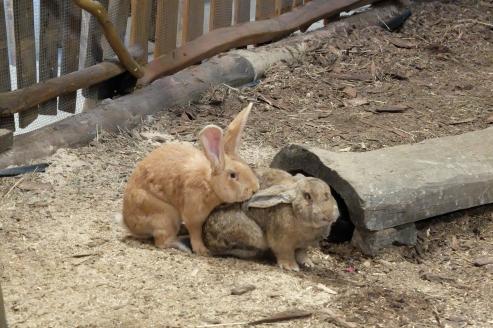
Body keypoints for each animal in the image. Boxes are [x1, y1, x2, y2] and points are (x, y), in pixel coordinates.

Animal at [121, 104, 258, 255]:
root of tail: (128, 223)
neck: (209, 184)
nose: (255, 189)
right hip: (165, 216)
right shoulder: (193, 214)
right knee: (162, 241)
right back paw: (182, 245)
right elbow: (195, 232)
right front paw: (202, 250)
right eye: (233, 175)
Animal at [201, 168, 338, 270]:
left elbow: (302, 253)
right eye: (308, 196)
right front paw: (291, 267)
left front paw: (308, 264)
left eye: (329, 195)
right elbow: (285, 253)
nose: (329, 215)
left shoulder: (303, 245)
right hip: (253, 235)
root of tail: (206, 236)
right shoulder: (282, 242)